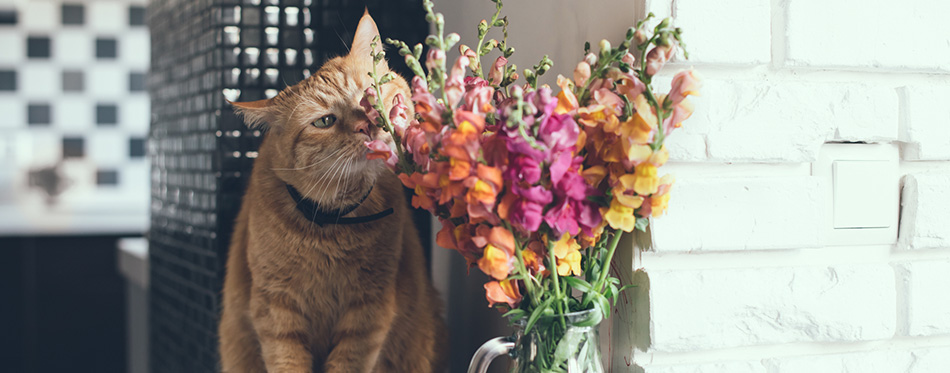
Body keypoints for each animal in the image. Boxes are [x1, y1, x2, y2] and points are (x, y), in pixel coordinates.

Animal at [219, 11, 450, 372]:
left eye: (371, 92)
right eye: (325, 121)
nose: (368, 124)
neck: (332, 224)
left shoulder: (369, 310)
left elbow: (348, 362)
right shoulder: (276, 311)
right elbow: (287, 362)